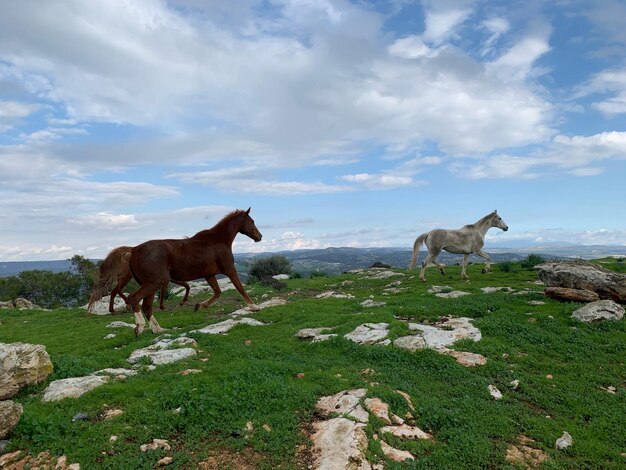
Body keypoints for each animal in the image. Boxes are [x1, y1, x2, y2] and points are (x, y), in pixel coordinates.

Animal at [120, 208, 260, 334]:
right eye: (252, 221)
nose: (259, 236)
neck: (218, 241)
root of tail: (134, 250)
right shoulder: (230, 269)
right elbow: (240, 288)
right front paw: (254, 306)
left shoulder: (209, 275)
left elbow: (217, 292)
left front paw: (199, 305)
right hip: (155, 282)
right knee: (134, 298)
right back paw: (140, 327)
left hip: (151, 284)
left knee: (147, 307)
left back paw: (158, 329)